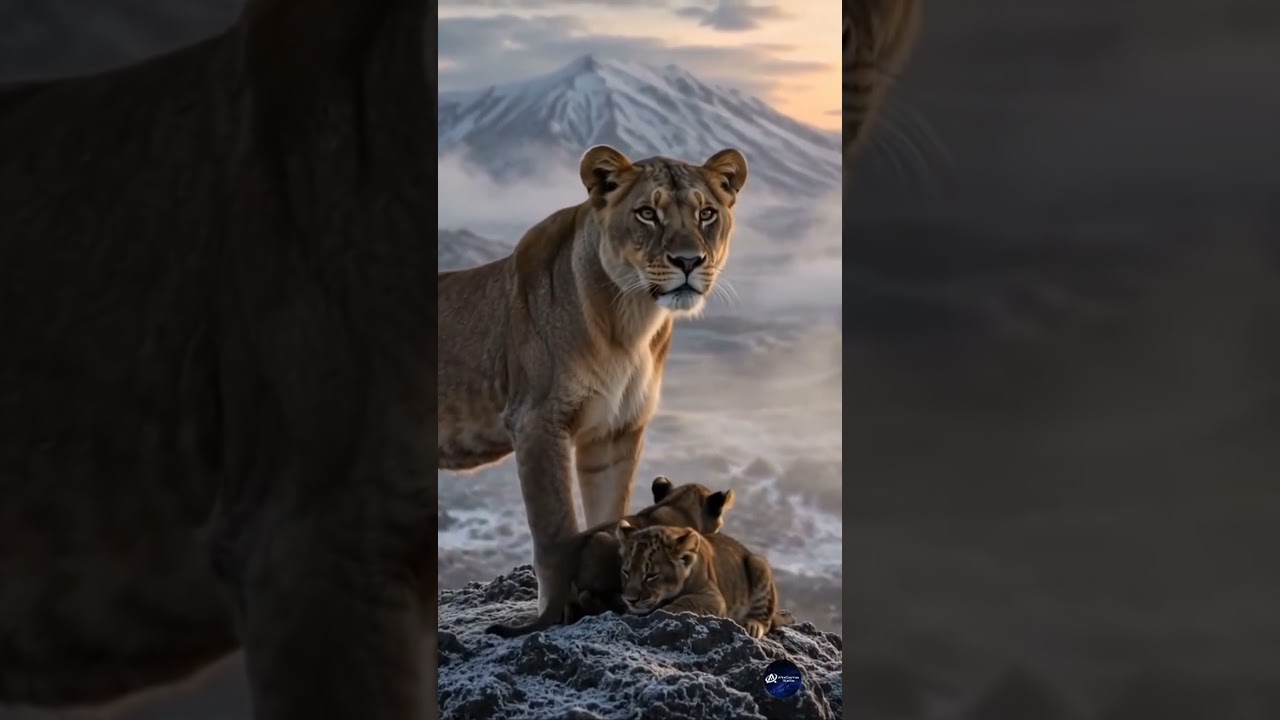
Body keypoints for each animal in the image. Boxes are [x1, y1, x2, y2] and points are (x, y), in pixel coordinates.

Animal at [615, 522, 787, 640]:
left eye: (651, 575)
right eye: (626, 572)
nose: (630, 600)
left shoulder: (715, 598)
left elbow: (688, 600)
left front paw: (665, 610)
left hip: (758, 563)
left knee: (765, 621)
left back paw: (752, 626)